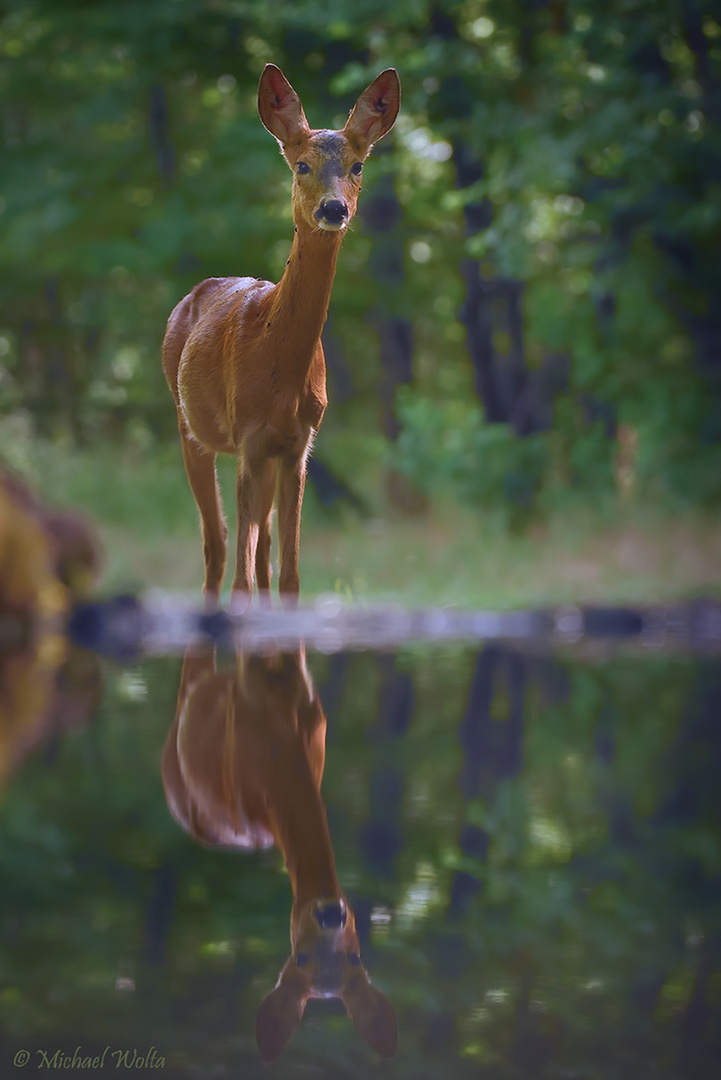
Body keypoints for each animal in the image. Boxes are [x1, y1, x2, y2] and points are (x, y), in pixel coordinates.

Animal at [162, 65, 399, 609]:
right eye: (302, 166)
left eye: (357, 166)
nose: (334, 209)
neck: (278, 366)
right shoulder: (249, 436)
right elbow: (242, 579)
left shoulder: (297, 444)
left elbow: (289, 576)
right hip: (189, 426)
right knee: (217, 546)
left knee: (261, 550)